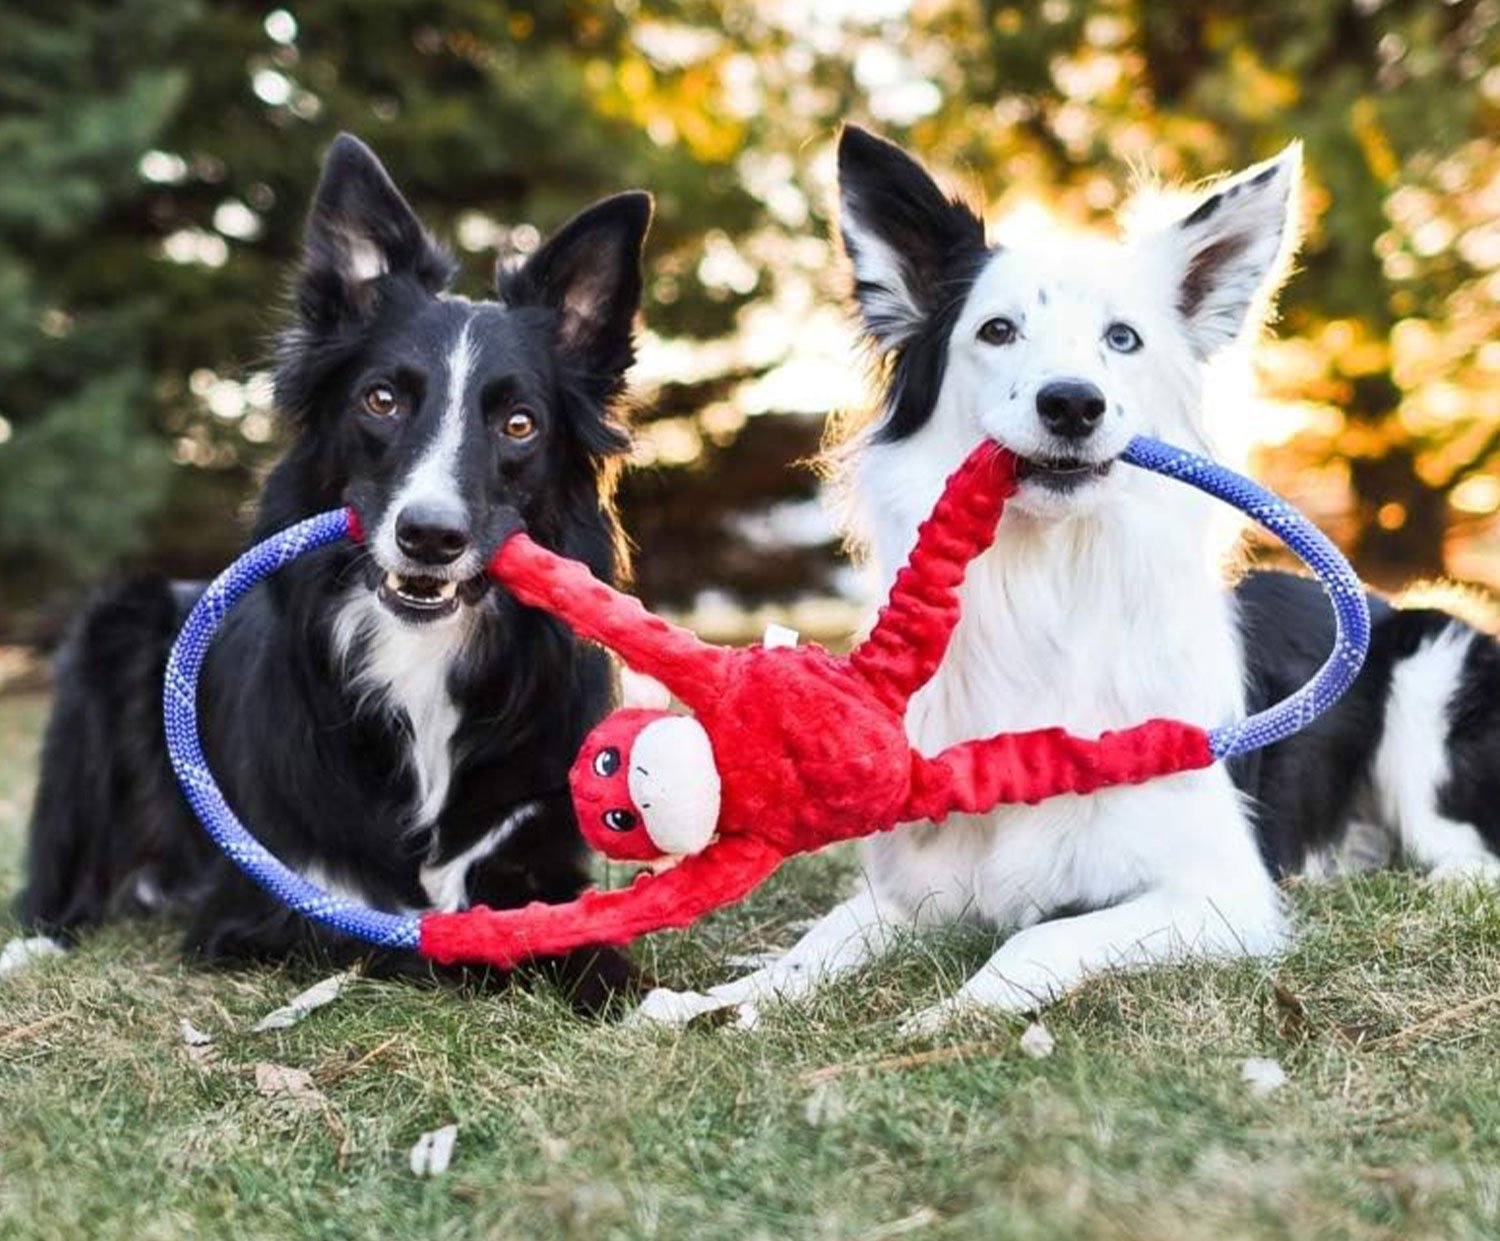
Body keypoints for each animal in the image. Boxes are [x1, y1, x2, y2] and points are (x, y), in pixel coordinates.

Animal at [17, 135, 651, 1008]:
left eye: (519, 424)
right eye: (382, 401)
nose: (430, 536)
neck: (419, 657)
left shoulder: (541, 860)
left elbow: (578, 942)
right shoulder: (269, 911)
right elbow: (402, 940)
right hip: (113, 630)